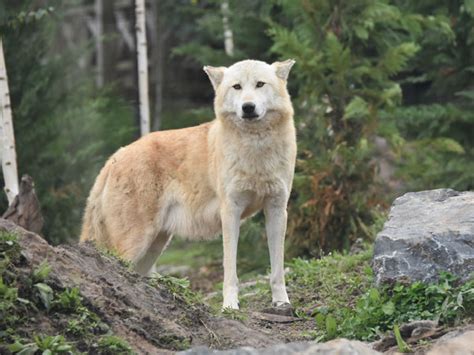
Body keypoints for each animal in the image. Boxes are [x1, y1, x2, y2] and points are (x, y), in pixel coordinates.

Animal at [81, 59, 296, 310]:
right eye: (237, 87)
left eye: (260, 84)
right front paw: (230, 306)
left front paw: (282, 303)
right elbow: (230, 270)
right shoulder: (230, 212)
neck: (256, 150)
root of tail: (114, 157)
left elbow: (277, 269)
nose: (248, 107)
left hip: (154, 246)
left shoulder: (277, 210)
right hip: (135, 243)